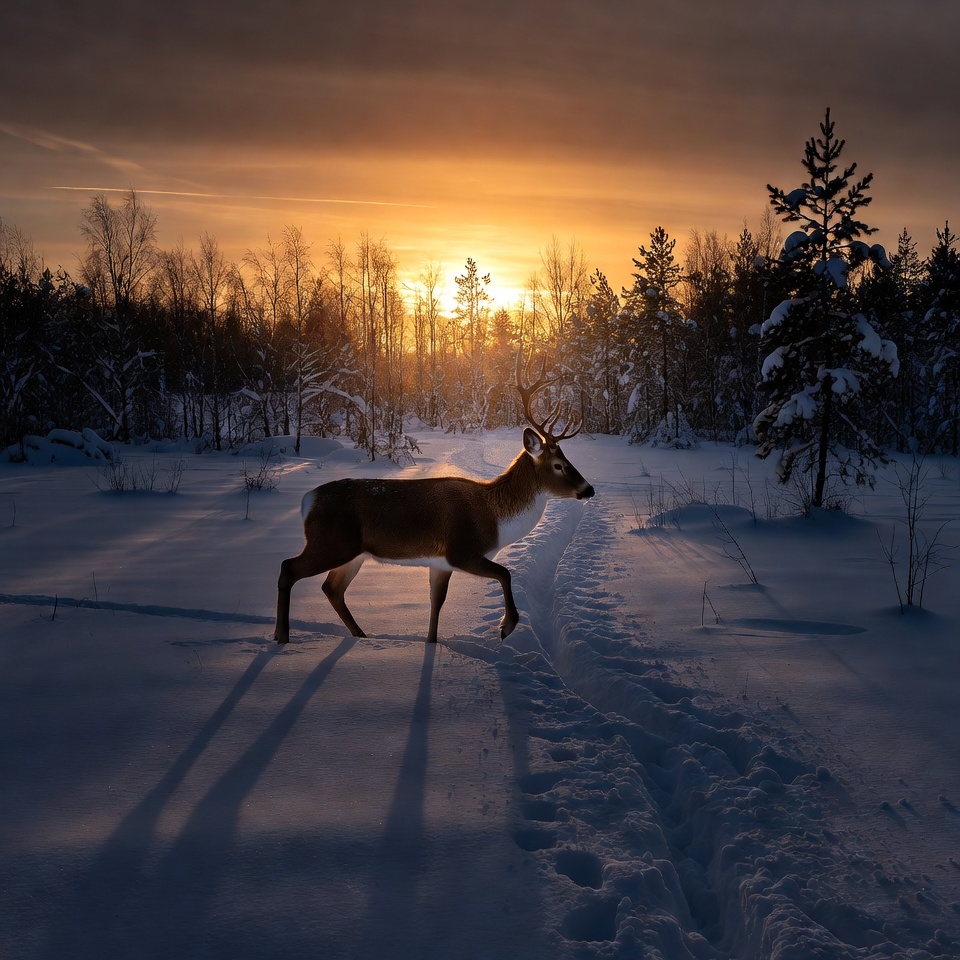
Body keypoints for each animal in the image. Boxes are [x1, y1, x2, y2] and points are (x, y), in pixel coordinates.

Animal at [272, 350, 595, 645]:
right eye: (558, 465)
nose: (588, 489)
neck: (495, 519)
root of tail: (307, 500)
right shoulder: (461, 551)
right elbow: (505, 573)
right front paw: (507, 626)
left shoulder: (440, 564)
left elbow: (436, 604)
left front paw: (431, 643)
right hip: (331, 543)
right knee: (288, 568)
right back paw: (282, 637)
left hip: (353, 552)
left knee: (332, 588)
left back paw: (360, 636)